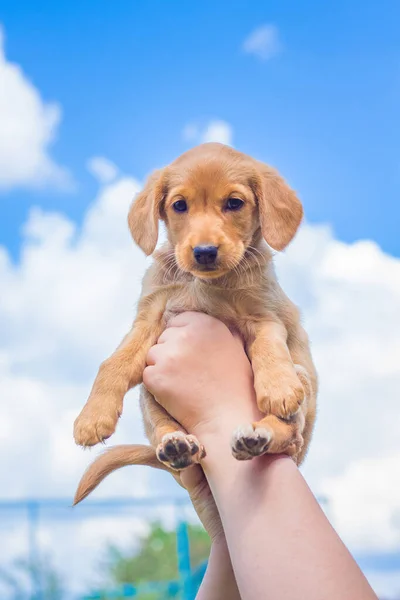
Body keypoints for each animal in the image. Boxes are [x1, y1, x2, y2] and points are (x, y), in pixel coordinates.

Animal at [73, 143, 318, 504]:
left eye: (234, 203)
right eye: (179, 205)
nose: (204, 251)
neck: (205, 284)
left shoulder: (265, 316)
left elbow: (269, 349)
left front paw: (278, 388)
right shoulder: (150, 318)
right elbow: (113, 364)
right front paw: (92, 417)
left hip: (301, 390)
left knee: (289, 436)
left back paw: (257, 434)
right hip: (148, 393)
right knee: (167, 433)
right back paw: (177, 446)